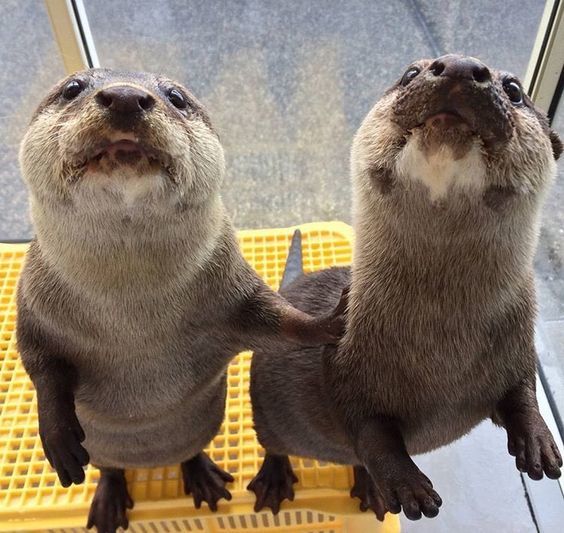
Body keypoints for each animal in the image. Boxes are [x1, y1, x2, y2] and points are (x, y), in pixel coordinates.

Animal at [17, 68, 342, 528]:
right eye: (72, 89)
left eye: (176, 97)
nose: (125, 97)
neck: (131, 316)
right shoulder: (33, 306)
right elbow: (41, 364)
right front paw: (58, 436)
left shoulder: (235, 294)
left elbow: (280, 321)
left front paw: (329, 321)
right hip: (104, 450)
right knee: (110, 467)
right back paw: (108, 500)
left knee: (190, 451)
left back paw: (203, 478)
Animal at [249, 54, 560, 520]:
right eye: (410, 73)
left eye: (514, 90)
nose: (459, 66)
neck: (444, 348)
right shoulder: (344, 362)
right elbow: (368, 429)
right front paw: (408, 486)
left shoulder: (520, 344)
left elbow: (522, 391)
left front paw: (539, 443)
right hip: (264, 413)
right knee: (276, 445)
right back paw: (275, 480)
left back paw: (370, 490)